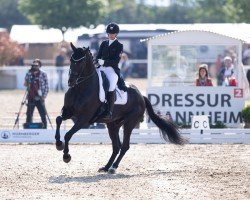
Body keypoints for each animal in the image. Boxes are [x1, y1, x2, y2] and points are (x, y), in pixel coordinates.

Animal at [55, 42, 188, 173]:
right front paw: (58, 144)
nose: (70, 82)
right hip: (113, 124)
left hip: (129, 123)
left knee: (124, 146)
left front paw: (66, 156)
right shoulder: (68, 112)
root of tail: (141, 96)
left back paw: (113, 167)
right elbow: (58, 119)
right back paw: (106, 167)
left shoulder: (84, 119)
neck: (81, 88)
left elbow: (68, 134)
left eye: (81, 62)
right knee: (116, 146)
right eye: (71, 60)